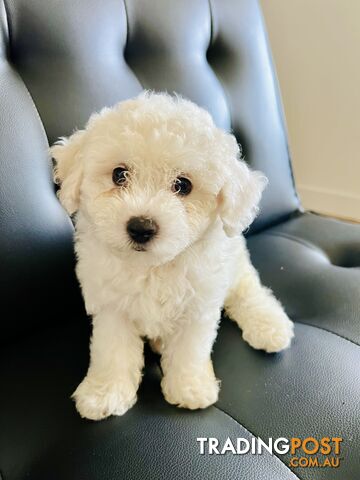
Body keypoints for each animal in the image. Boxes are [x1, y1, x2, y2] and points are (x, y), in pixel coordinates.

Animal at [50, 91, 294, 420]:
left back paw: (269, 326)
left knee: (250, 292)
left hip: (235, 270)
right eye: (119, 174)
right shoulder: (112, 306)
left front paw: (189, 387)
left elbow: (190, 349)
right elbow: (112, 349)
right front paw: (105, 393)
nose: (141, 227)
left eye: (183, 185)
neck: (153, 267)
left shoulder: (200, 304)